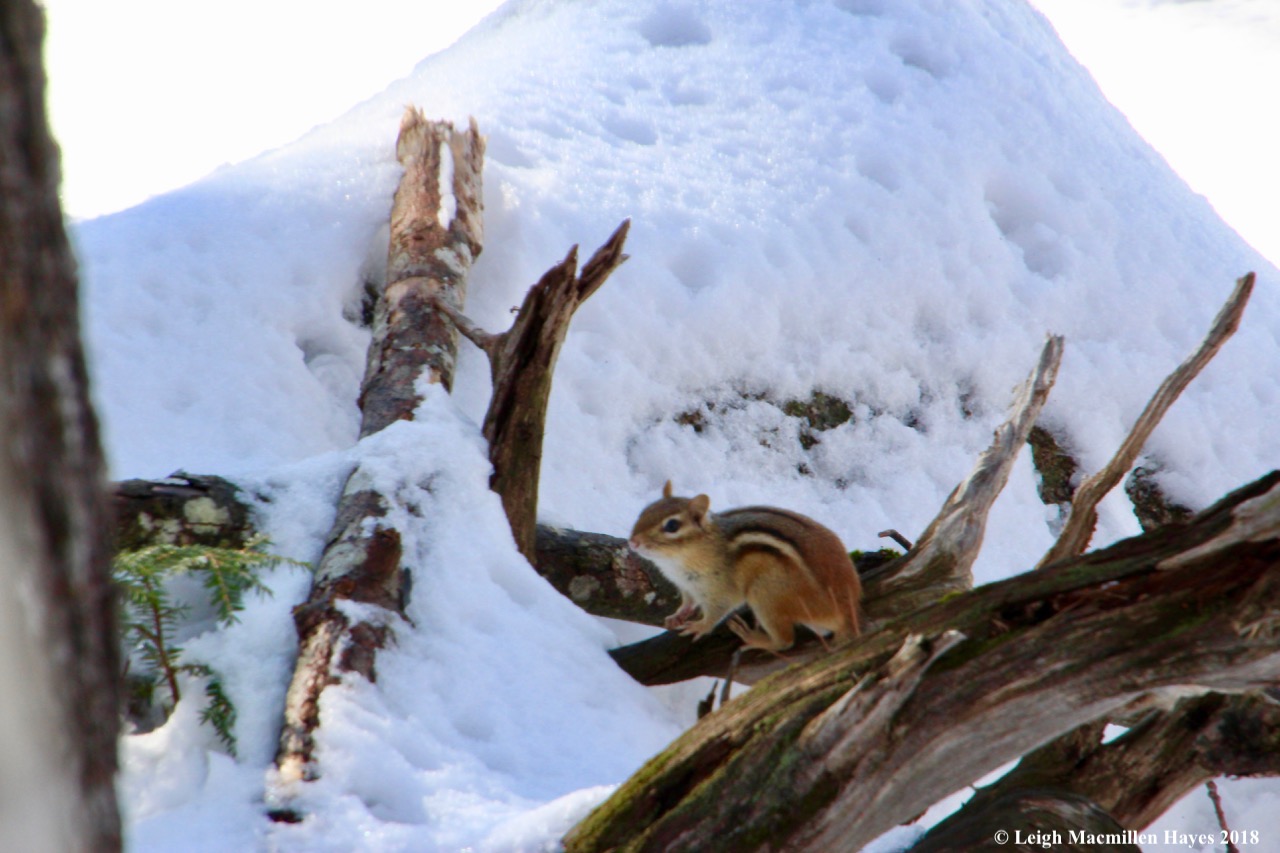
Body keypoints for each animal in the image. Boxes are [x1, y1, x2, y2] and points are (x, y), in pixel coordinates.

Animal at [628, 481, 862, 652]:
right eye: (644, 511)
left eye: (672, 526)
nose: (633, 542)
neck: (675, 563)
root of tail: (845, 609)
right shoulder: (687, 586)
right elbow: (688, 602)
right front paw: (677, 616)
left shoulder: (720, 588)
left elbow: (717, 611)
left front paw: (700, 626)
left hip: (766, 594)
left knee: (785, 641)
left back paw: (753, 638)